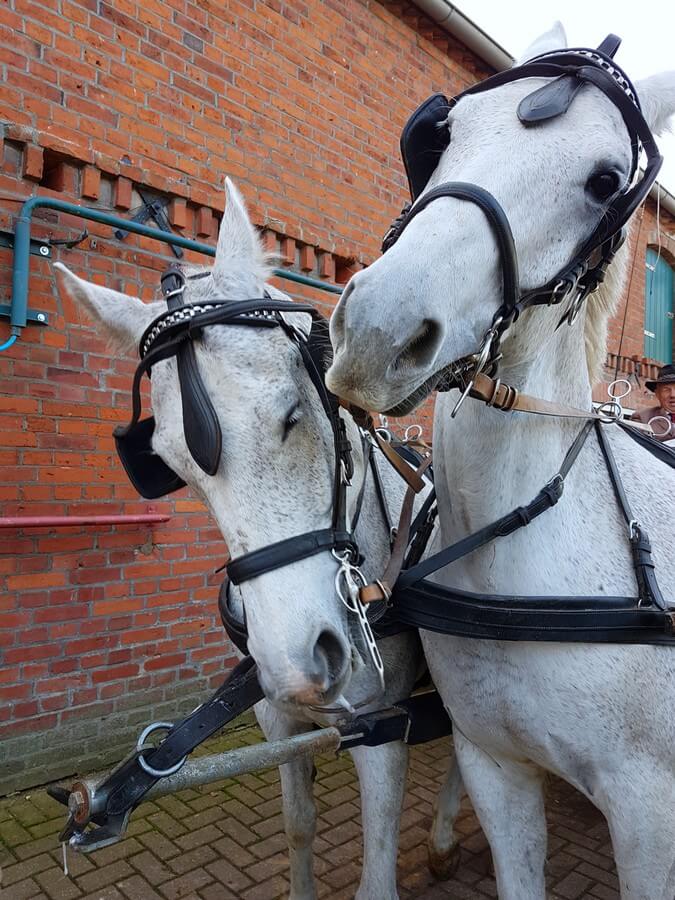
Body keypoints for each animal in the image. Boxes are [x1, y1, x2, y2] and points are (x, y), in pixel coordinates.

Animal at [55, 178, 462, 900]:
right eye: (172, 463)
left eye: (293, 413)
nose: (302, 660)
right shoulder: (277, 719)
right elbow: (298, 826)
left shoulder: (383, 728)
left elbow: (378, 869)